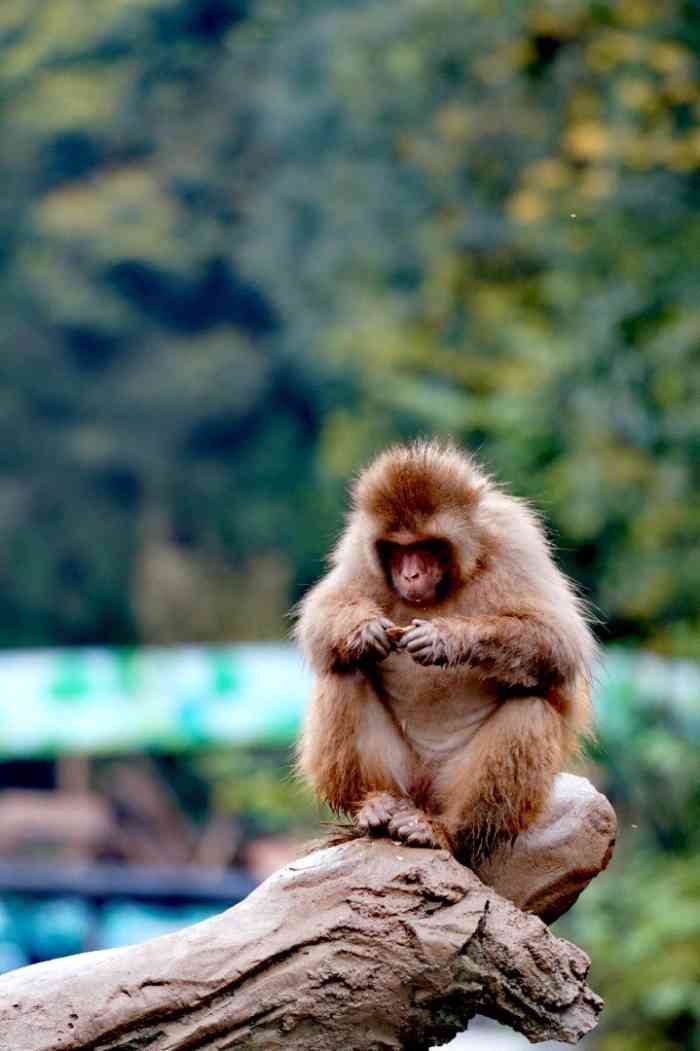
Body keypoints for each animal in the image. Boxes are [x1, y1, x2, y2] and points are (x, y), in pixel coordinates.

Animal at [292, 437, 592, 870]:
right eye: (398, 550)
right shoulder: (358, 547)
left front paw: (446, 639)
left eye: (427, 547)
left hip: (451, 786)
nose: (410, 574)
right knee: (343, 671)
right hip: (403, 776)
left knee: (530, 707)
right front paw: (362, 631)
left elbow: (558, 640)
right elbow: (322, 615)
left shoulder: (515, 540)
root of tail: (423, 797)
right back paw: (373, 804)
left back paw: (447, 830)